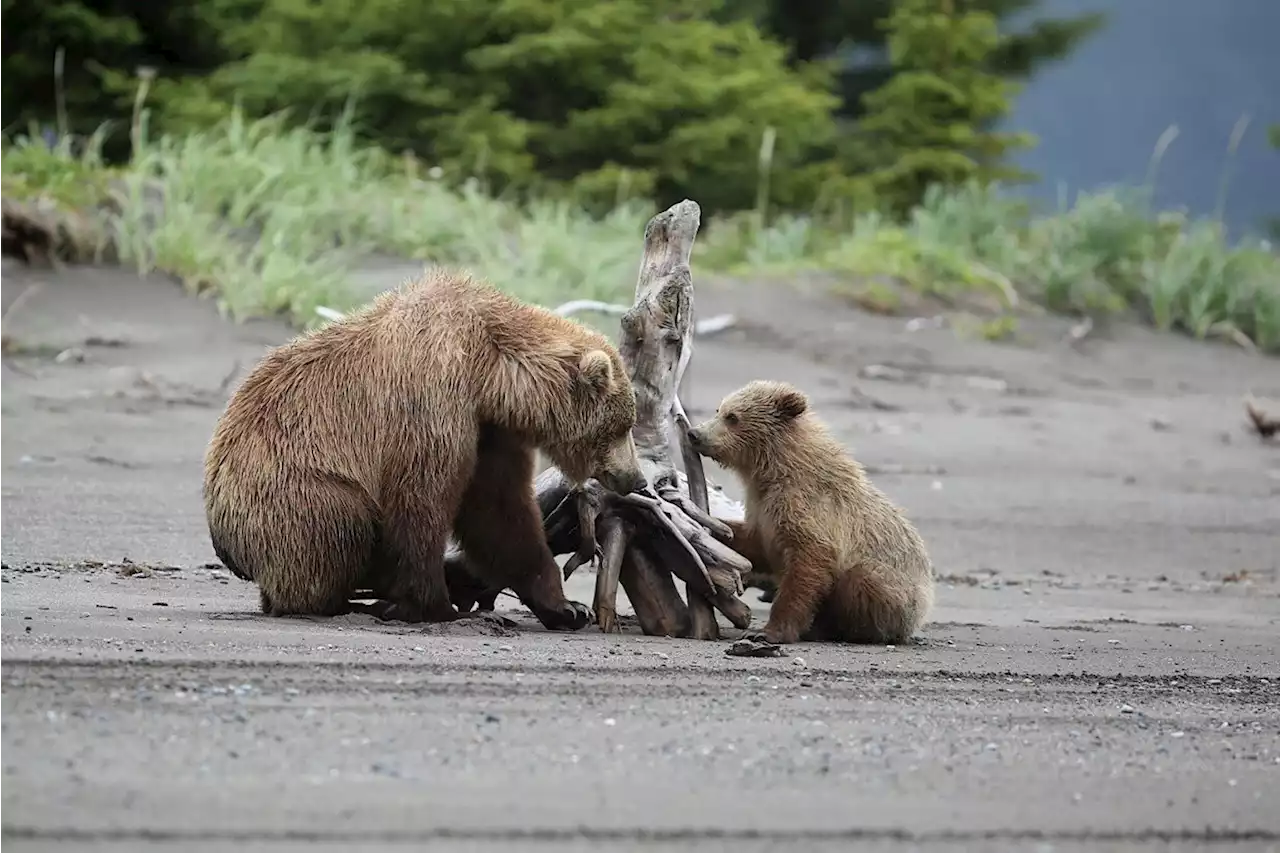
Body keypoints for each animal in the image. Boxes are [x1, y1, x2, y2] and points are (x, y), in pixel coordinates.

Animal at [207, 268, 650, 627]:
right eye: (622, 425)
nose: (636, 478)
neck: (491, 373)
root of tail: (225, 543)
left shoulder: (488, 429)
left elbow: (500, 512)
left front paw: (566, 607)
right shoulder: (433, 395)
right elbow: (421, 500)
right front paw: (434, 606)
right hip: (286, 491)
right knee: (338, 525)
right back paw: (351, 598)